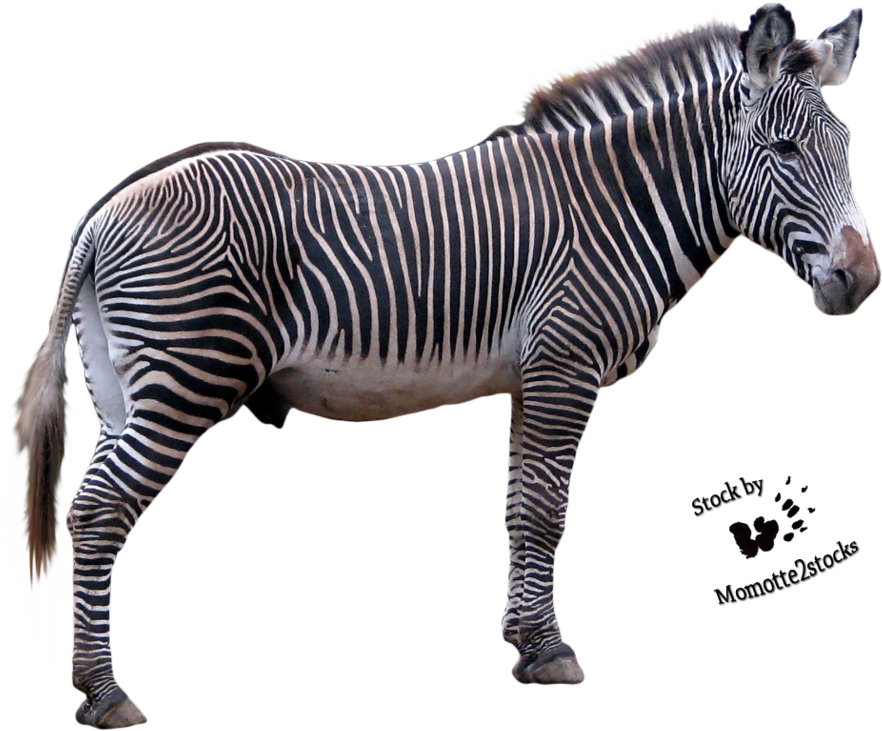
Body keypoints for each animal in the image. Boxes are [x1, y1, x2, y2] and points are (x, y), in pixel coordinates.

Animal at [9, 1, 877, 723]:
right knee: (99, 510)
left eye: (847, 149)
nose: (863, 282)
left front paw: (527, 642)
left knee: (93, 507)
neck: (617, 207)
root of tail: (104, 211)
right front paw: (553, 653)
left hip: (124, 388)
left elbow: (520, 509)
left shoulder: (535, 374)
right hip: (184, 378)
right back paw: (106, 694)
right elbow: (548, 511)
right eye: (785, 148)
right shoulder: (566, 365)